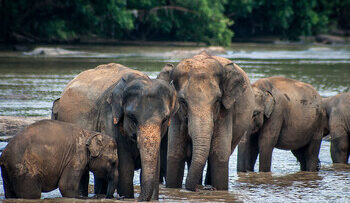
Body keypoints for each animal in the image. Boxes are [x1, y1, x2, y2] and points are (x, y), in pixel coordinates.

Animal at [51, 63, 178, 201]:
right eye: (132, 118)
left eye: (165, 119)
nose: (138, 199)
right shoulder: (109, 118)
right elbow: (125, 170)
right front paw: (128, 197)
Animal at [158, 52, 254, 190]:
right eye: (182, 101)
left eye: (217, 100)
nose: (195, 190)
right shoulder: (176, 115)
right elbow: (175, 154)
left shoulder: (226, 110)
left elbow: (219, 156)